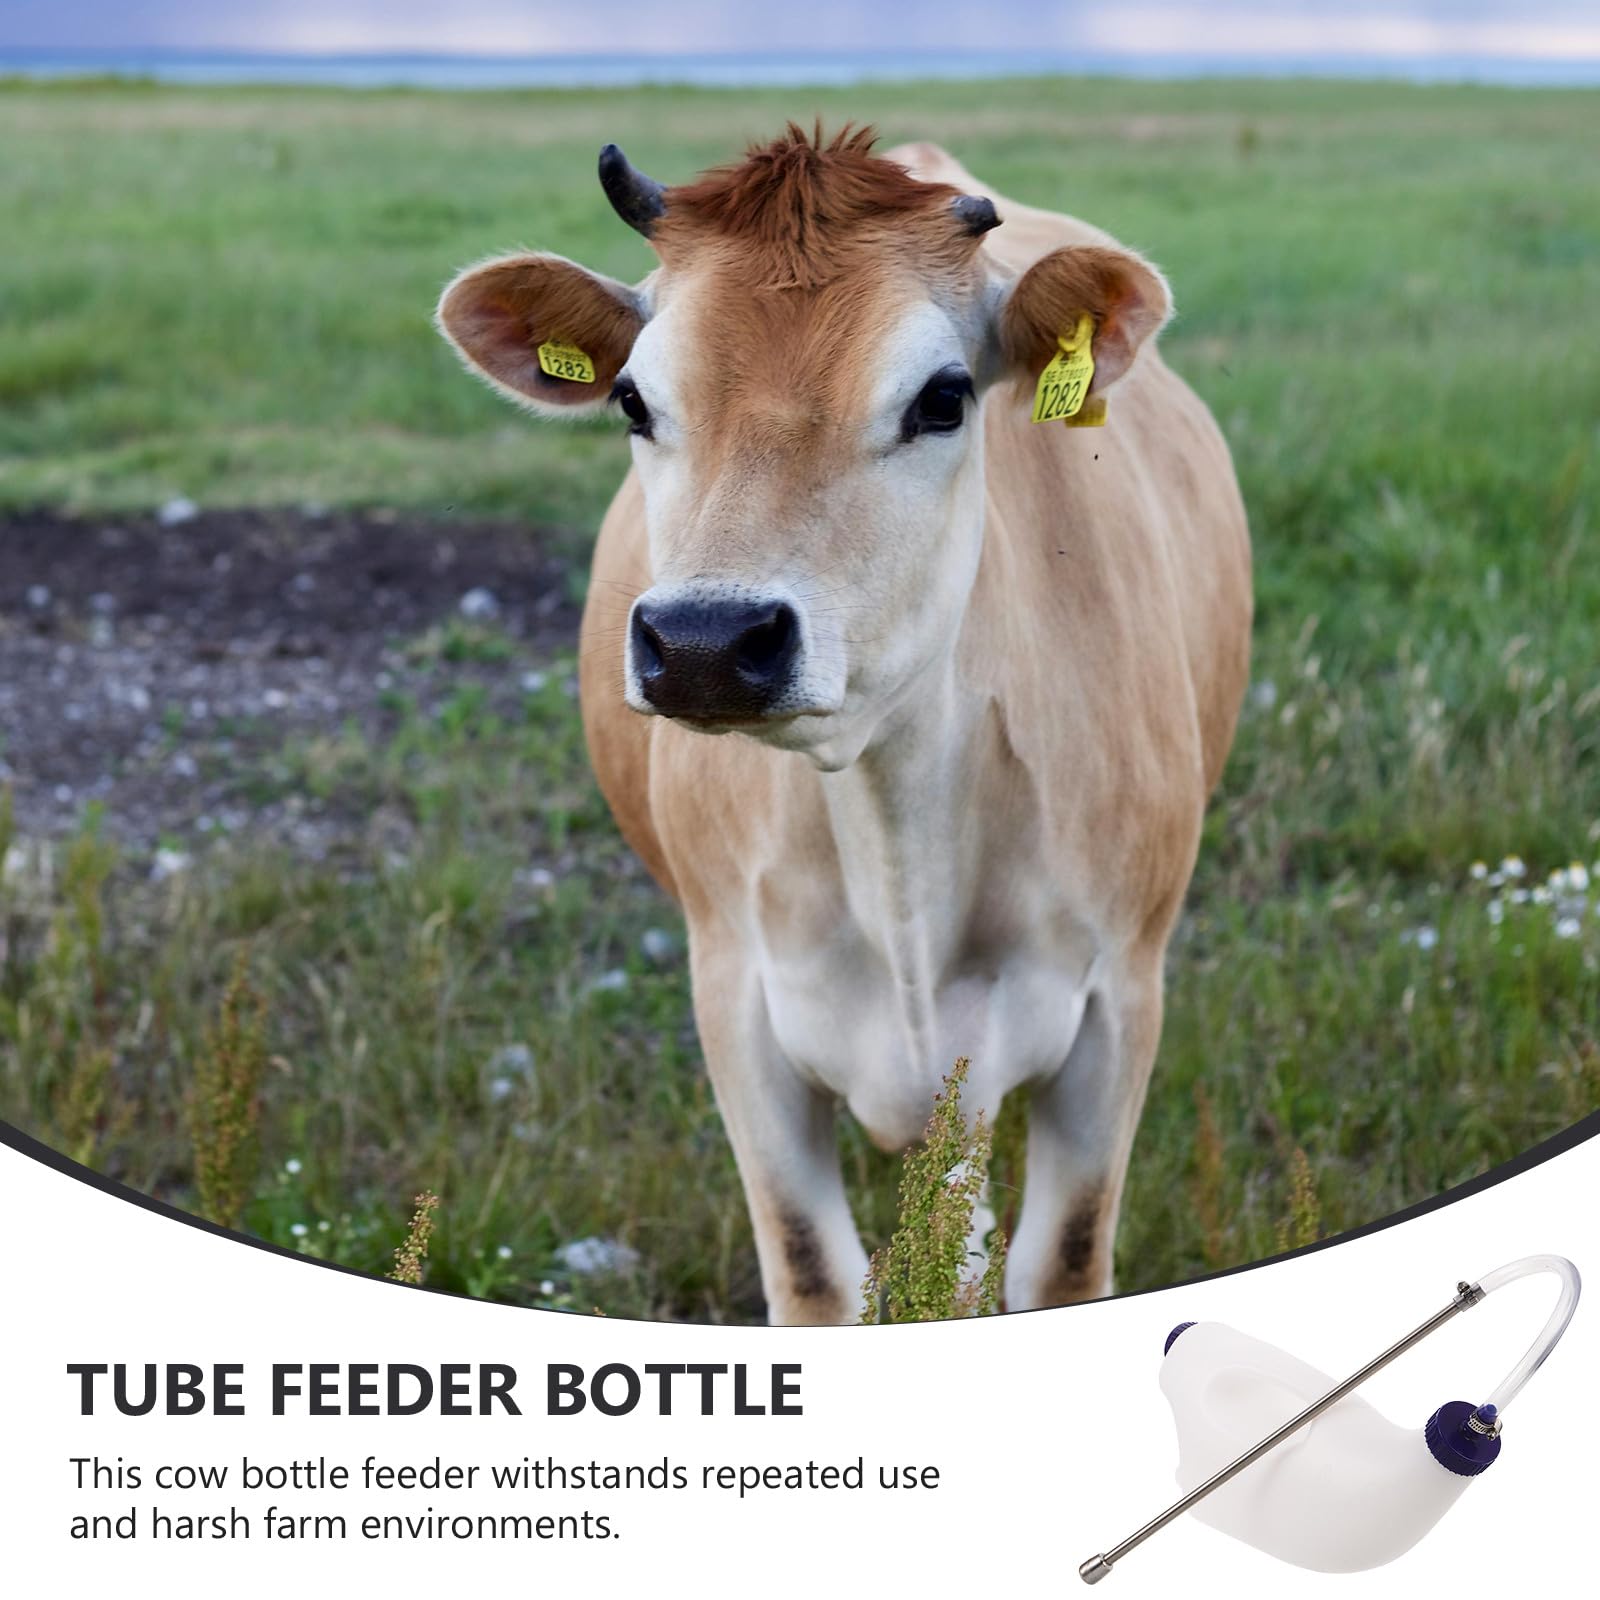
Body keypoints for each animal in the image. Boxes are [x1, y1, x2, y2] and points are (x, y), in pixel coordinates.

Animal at [436, 125, 1252, 1325]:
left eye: (944, 397)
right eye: (632, 401)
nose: (705, 641)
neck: (895, 823)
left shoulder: (1119, 1000)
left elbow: (1061, 1263)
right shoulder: (736, 998)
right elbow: (815, 1273)